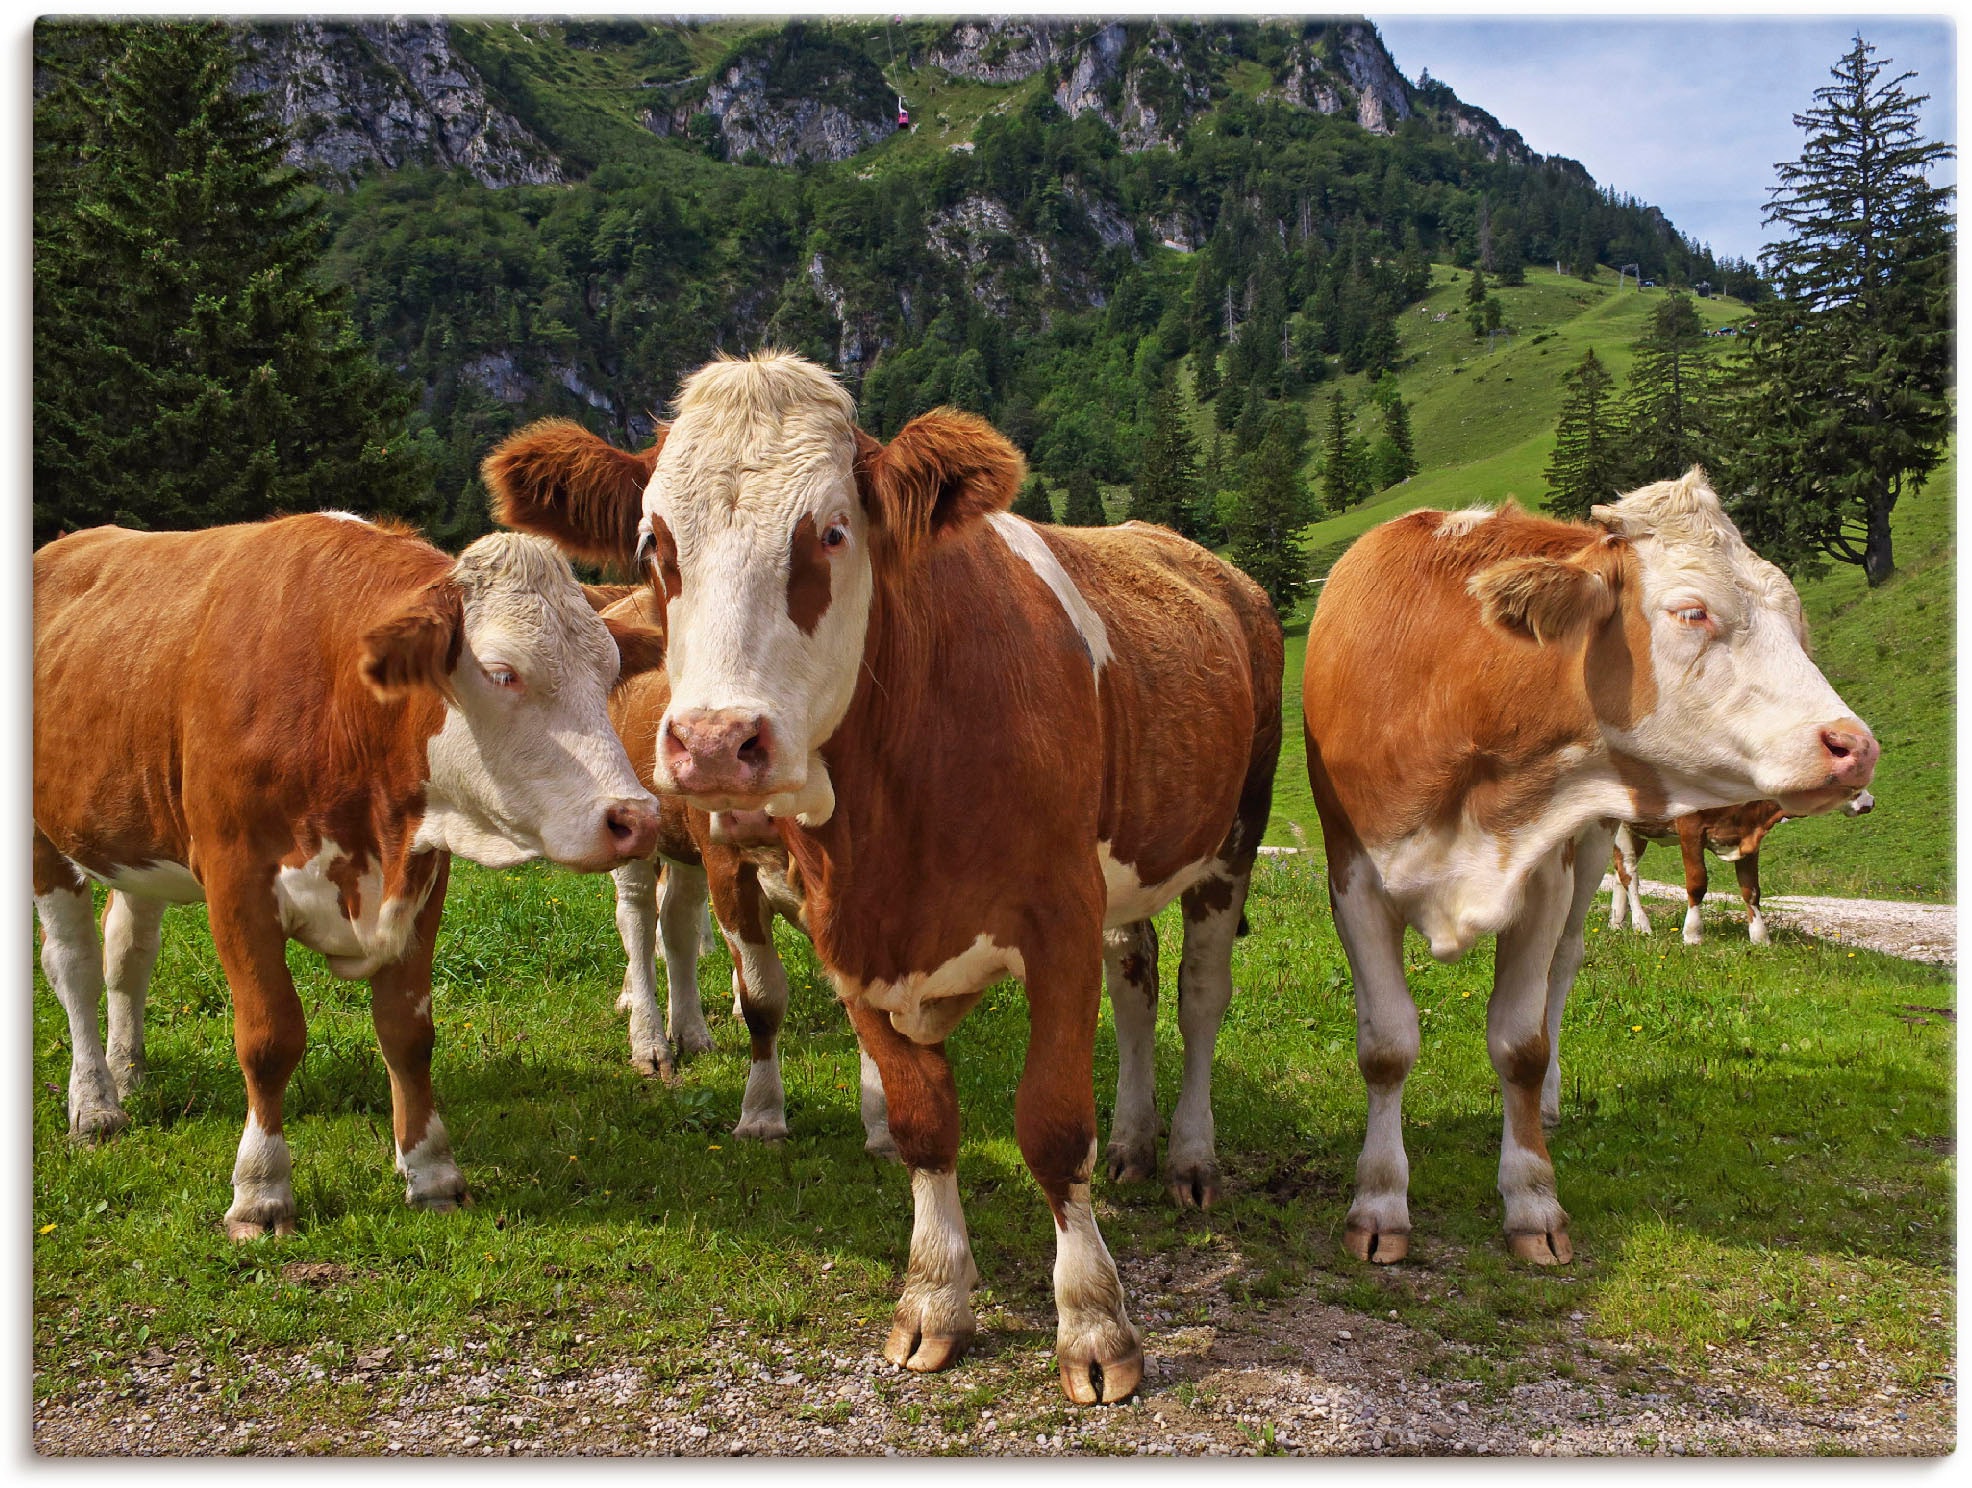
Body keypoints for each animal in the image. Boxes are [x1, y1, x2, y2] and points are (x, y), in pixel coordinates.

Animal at [34, 516, 666, 1237]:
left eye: (608, 674)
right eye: (503, 672)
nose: (637, 817)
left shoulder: (423, 874)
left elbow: (408, 1032)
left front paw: (431, 1170)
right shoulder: (235, 879)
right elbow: (270, 1036)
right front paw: (261, 1190)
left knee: (128, 952)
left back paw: (127, 1067)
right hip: (45, 841)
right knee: (75, 965)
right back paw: (95, 1104)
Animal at [483, 354, 1285, 1403]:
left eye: (831, 531)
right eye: (655, 543)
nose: (715, 744)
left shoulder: (1057, 919)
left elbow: (1050, 1123)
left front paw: (1094, 1324)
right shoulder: (850, 932)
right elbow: (918, 1119)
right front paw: (935, 1297)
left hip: (1232, 834)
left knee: (1198, 993)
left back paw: (1188, 1153)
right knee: (1137, 981)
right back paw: (1135, 1142)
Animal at [1609, 792, 1869, 942]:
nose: (1868, 802)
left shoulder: (1750, 841)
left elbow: (1751, 891)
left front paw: (1760, 937)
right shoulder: (1690, 829)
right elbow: (1697, 884)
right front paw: (1693, 934)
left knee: (1619, 873)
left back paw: (1617, 923)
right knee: (1629, 873)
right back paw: (1641, 925)